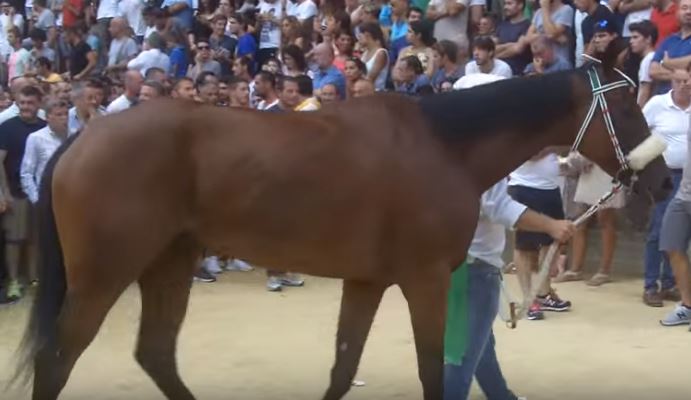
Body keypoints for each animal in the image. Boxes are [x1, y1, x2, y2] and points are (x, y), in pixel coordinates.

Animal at [14, 47, 670, 400]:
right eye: (626, 103)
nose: (664, 182)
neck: (444, 146)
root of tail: (83, 136)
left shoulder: (367, 281)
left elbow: (344, 363)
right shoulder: (425, 279)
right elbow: (431, 369)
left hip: (169, 261)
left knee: (154, 353)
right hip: (105, 273)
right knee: (59, 358)